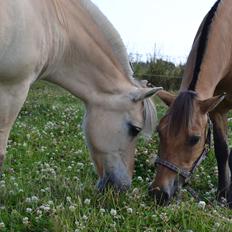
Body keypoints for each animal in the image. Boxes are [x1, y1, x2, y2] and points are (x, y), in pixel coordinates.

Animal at [150, 0, 232, 207]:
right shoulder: (217, 109)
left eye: (194, 139)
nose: (158, 193)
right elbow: (222, 151)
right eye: (159, 131)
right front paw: (223, 195)